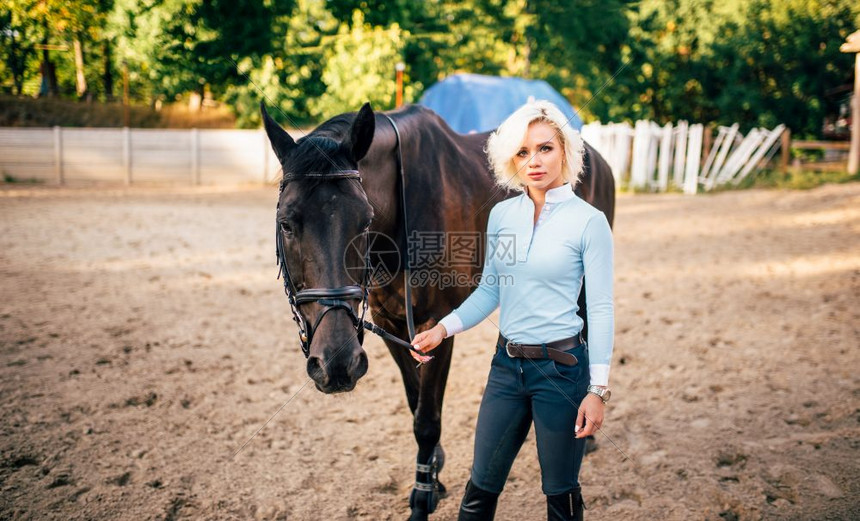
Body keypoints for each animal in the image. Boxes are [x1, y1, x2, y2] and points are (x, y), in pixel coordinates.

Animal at [260, 102, 612, 520]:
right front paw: (434, 474)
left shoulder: (434, 327)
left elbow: (427, 421)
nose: (336, 364)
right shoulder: (393, 326)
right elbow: (416, 404)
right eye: (286, 223)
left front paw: (422, 498)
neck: (400, 224)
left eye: (365, 221)